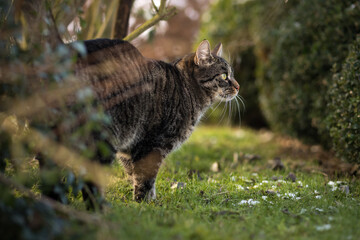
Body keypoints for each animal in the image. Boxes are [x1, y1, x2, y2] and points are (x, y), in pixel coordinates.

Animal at [75, 38, 239, 202]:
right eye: (224, 76)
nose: (238, 86)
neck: (187, 89)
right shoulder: (152, 145)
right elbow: (145, 178)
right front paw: (144, 202)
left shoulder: (129, 150)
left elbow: (135, 175)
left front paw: (149, 199)